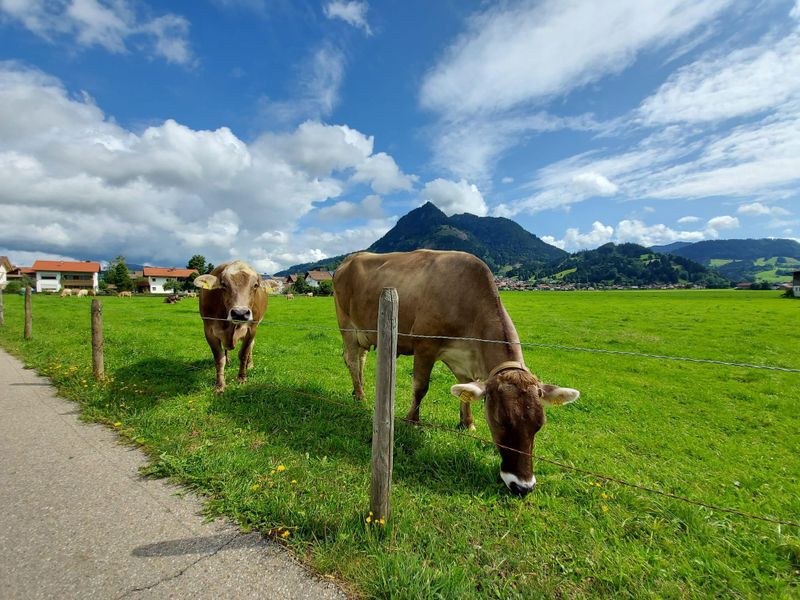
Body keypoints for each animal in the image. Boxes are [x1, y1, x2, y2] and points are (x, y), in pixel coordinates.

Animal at [194, 258, 268, 392]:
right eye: (223, 284)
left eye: (255, 285)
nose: (240, 313)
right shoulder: (209, 331)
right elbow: (219, 359)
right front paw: (220, 386)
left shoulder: (251, 329)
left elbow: (243, 354)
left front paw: (241, 379)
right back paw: (228, 361)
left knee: (251, 346)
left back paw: (250, 364)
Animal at [332, 250, 580, 496]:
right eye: (500, 421)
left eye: (539, 424)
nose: (523, 486)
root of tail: (350, 258)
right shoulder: (425, 345)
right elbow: (420, 387)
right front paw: (412, 420)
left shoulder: (464, 359)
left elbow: (465, 393)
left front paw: (467, 423)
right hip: (347, 324)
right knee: (352, 360)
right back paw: (361, 396)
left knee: (360, 359)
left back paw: (358, 390)